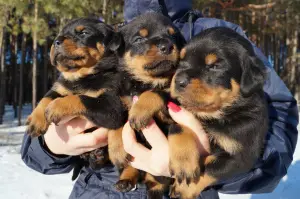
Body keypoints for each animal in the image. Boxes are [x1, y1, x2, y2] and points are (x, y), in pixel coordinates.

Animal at [25, 18, 126, 173]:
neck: (80, 77)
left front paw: (56, 107)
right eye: (60, 33)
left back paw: (99, 155)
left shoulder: (112, 107)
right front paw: (35, 121)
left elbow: (80, 98)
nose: (56, 41)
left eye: (84, 33)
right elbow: (45, 98)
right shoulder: (60, 87)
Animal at [108, 13, 186, 198]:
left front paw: (139, 112)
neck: (144, 82)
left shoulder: (173, 106)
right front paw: (116, 149)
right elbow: (116, 122)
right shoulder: (122, 99)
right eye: (139, 39)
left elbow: (154, 92)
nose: (167, 46)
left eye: (173, 35)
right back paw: (125, 180)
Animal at [169, 27, 270, 198]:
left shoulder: (243, 156)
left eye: (215, 66)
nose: (178, 80)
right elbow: (178, 125)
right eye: (180, 62)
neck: (214, 115)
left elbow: (209, 168)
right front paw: (184, 161)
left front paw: (182, 188)